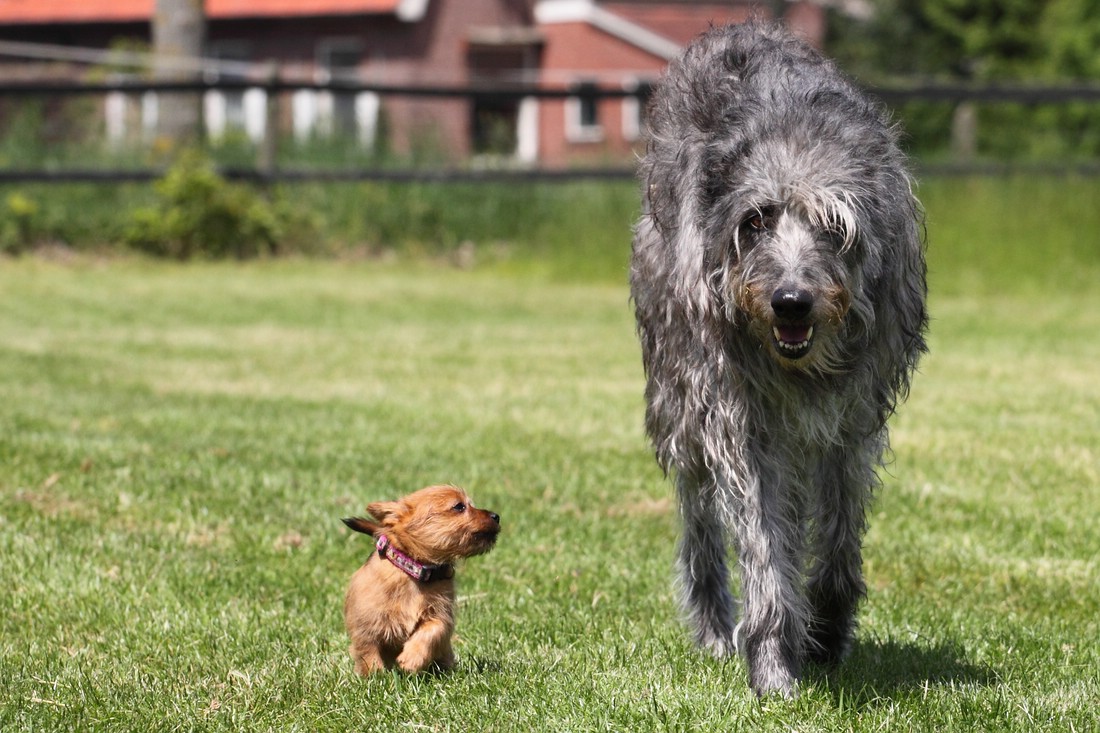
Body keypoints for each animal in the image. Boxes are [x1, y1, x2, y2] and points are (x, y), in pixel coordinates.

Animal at [341, 484, 501, 673]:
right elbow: (368, 652)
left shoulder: (441, 614)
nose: (496, 516)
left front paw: (412, 658)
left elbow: (432, 630)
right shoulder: (366, 626)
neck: (415, 570)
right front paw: (376, 675)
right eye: (459, 506)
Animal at [629, 21, 928, 695]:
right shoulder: (741, 417)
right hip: (676, 385)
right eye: (756, 221)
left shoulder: (852, 419)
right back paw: (716, 625)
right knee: (700, 512)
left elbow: (839, 533)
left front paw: (829, 629)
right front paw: (771, 664)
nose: (791, 301)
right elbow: (763, 539)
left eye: (834, 226)